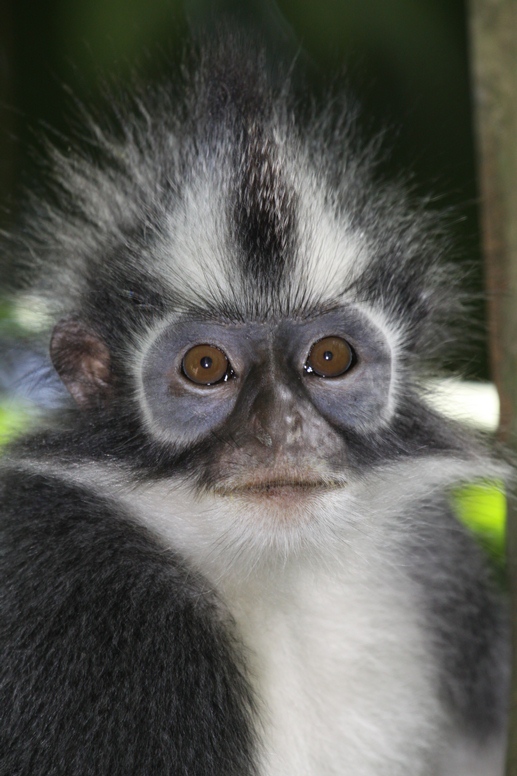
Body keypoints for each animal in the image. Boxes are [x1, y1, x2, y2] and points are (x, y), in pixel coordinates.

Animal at [0, 32, 510, 776]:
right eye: (205, 367)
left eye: (330, 358)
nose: (282, 428)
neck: (280, 578)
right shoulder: (76, 586)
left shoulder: (446, 576)